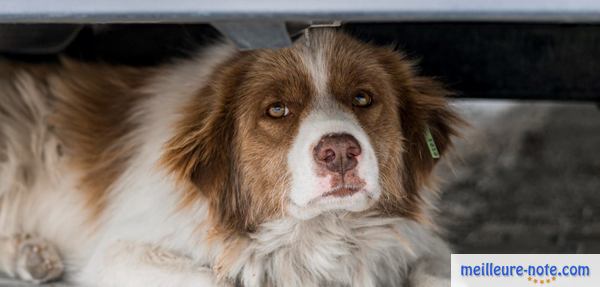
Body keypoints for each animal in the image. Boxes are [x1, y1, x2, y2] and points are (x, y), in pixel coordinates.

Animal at [0, 29, 460, 287]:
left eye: (363, 98)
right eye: (277, 109)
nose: (340, 152)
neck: (316, 233)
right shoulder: (119, 251)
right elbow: (212, 279)